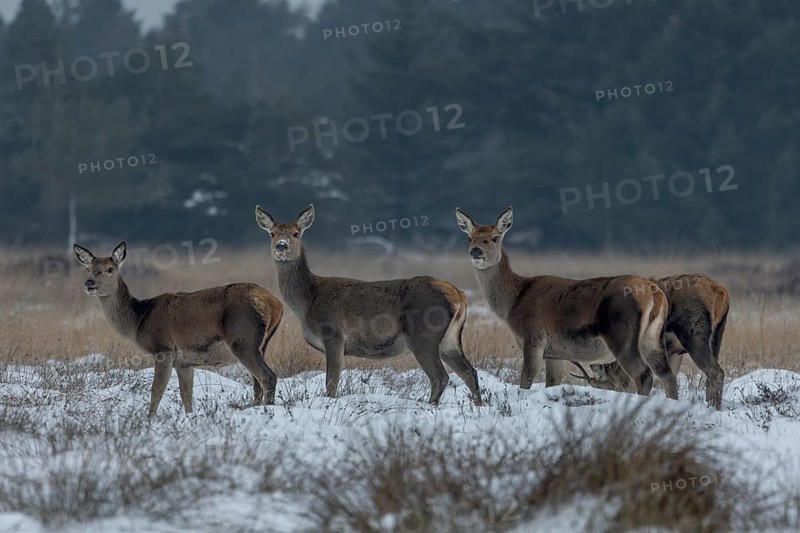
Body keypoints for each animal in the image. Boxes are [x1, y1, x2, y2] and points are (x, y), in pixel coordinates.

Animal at [73, 241, 283, 417]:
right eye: (88, 269)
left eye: (110, 269)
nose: (89, 283)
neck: (138, 319)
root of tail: (275, 304)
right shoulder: (184, 362)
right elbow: (186, 395)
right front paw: (189, 417)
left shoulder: (163, 348)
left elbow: (156, 390)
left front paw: (149, 420)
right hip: (260, 344)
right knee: (257, 383)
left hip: (243, 339)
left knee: (267, 377)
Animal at [254, 204, 482, 406]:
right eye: (272, 233)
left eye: (295, 233)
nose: (281, 246)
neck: (308, 301)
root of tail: (459, 295)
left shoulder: (334, 334)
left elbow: (331, 382)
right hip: (450, 339)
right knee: (469, 372)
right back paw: (479, 405)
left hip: (423, 335)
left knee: (440, 376)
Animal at [454, 206, 678, 400]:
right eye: (469, 237)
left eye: (494, 238)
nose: (475, 251)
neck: (513, 302)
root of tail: (655, 294)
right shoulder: (555, 354)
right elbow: (552, 383)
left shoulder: (533, 338)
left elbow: (526, 380)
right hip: (652, 338)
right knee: (667, 375)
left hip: (621, 335)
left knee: (644, 375)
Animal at [571, 274, 730, 410]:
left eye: (607, 386)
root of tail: (721, 293)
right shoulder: (674, 352)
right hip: (717, 335)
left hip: (693, 335)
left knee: (715, 371)